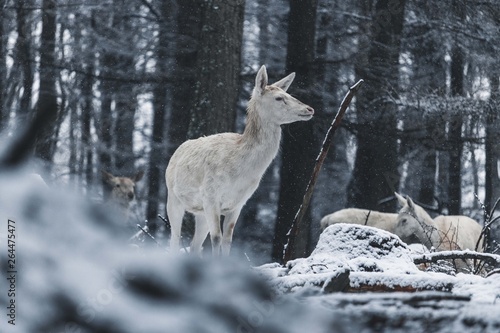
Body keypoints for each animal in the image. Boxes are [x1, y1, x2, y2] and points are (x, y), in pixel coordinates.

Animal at [166, 66, 314, 255]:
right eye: (279, 98)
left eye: (289, 94)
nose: (310, 109)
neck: (239, 172)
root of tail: (177, 151)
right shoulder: (210, 196)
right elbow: (216, 238)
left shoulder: (238, 203)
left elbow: (228, 240)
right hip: (173, 198)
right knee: (174, 239)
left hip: (200, 212)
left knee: (194, 245)